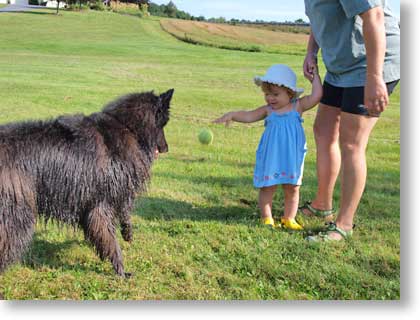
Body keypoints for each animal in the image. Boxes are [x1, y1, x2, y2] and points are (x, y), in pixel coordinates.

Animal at [0, 89, 174, 276]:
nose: (166, 148)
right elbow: (110, 239)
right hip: (18, 215)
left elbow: (124, 213)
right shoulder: (100, 205)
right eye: (163, 124)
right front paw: (121, 270)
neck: (127, 127)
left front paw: (127, 233)